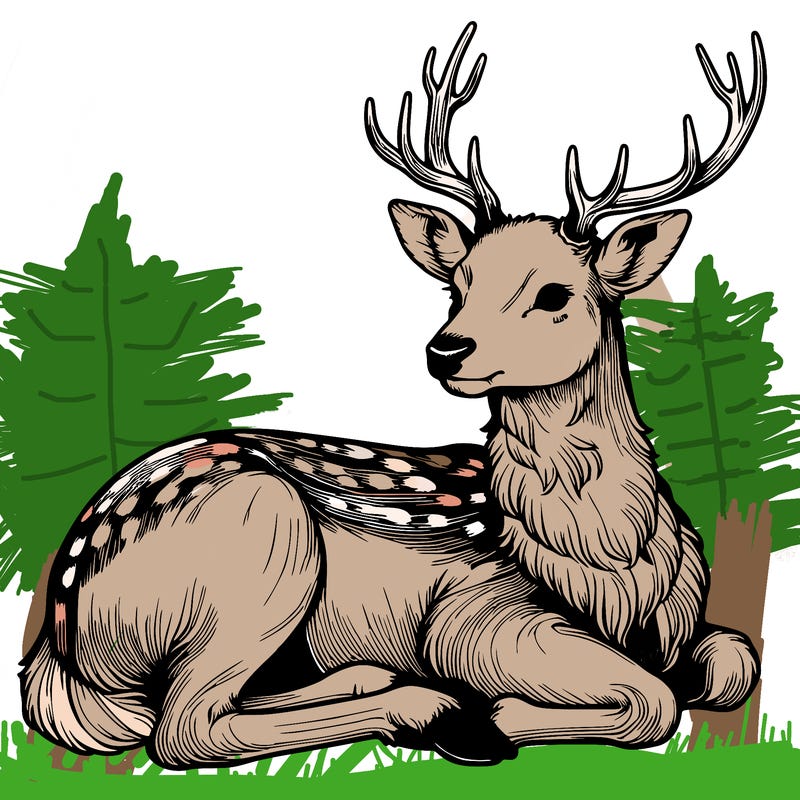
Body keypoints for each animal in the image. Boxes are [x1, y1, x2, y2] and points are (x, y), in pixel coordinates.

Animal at [20, 22, 766, 769]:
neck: (612, 566)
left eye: (555, 293)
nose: (446, 348)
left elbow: (735, 660)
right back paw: (435, 711)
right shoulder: (476, 614)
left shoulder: (691, 625)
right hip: (264, 545)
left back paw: (377, 680)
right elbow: (653, 700)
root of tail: (57, 639)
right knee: (182, 726)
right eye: (458, 283)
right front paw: (495, 715)